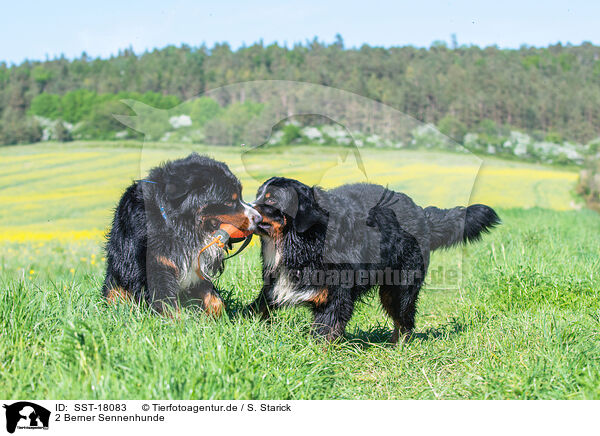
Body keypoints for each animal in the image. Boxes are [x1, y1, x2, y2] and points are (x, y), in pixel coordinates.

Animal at [102, 154, 260, 316]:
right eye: (229, 201)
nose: (259, 218)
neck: (180, 226)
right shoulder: (157, 265)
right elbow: (166, 303)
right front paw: (177, 321)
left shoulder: (197, 265)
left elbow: (214, 299)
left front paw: (218, 317)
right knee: (115, 290)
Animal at [246, 178, 500, 344]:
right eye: (258, 195)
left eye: (271, 200)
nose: (244, 207)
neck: (304, 241)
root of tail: (421, 213)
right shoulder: (276, 285)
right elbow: (258, 308)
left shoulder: (335, 297)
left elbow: (324, 332)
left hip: (398, 288)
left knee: (404, 319)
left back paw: (398, 346)